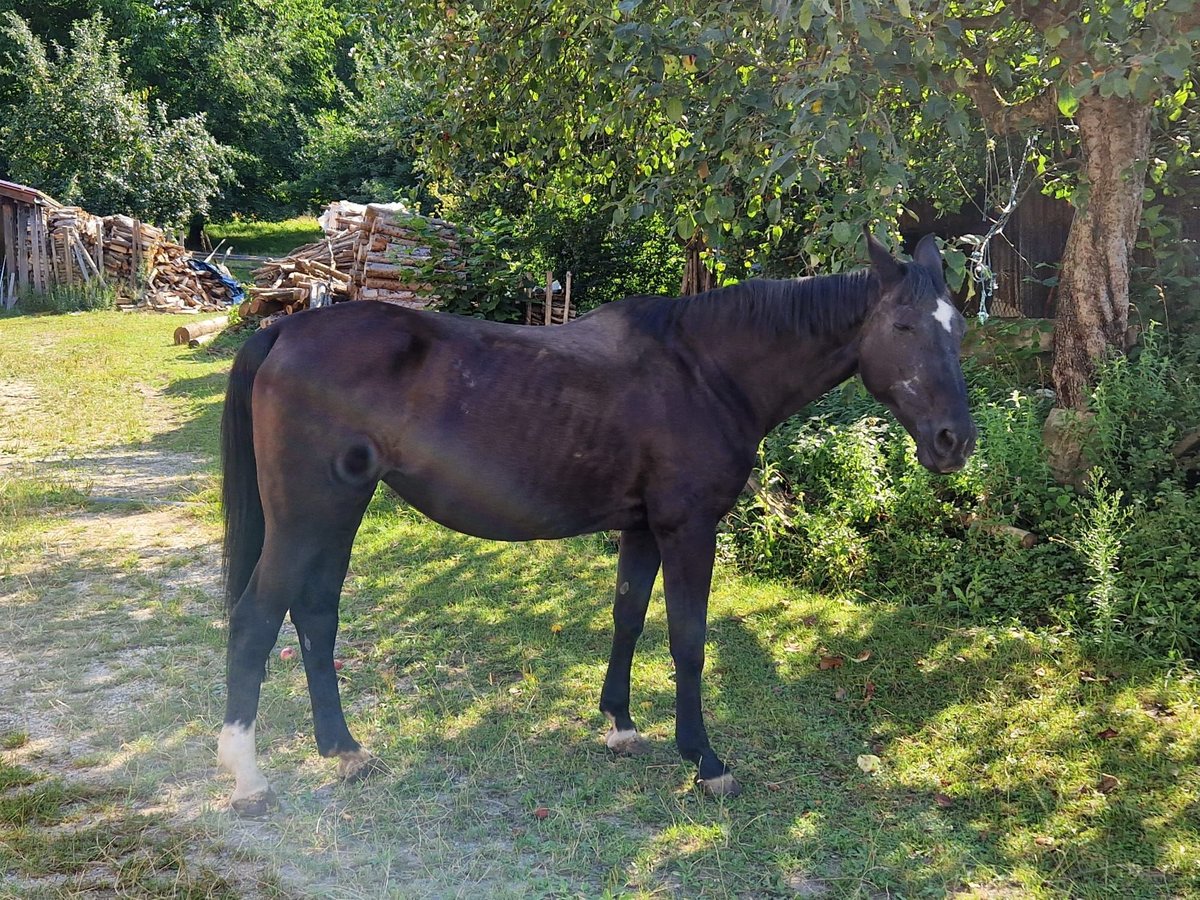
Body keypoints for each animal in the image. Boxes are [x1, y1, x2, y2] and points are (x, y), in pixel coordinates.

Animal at [218, 230, 974, 816]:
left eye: (959, 329)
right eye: (903, 327)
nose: (954, 442)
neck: (704, 370)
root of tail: (286, 327)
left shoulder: (641, 528)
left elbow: (629, 616)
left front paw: (620, 725)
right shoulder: (688, 529)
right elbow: (688, 640)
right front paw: (705, 760)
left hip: (339, 509)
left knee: (316, 613)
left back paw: (343, 750)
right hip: (309, 512)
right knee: (258, 616)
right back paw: (248, 778)